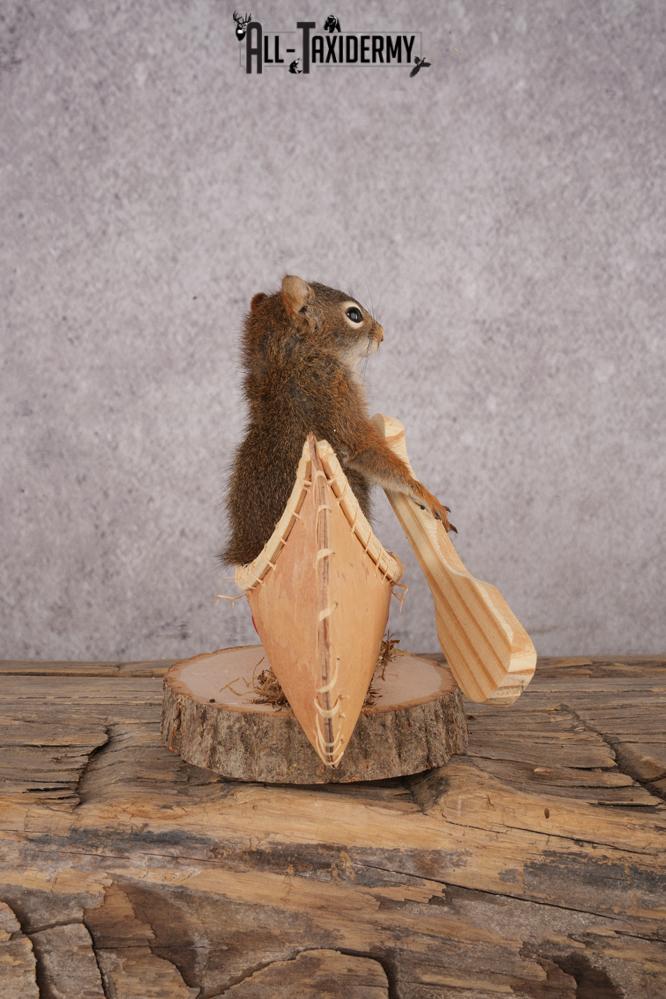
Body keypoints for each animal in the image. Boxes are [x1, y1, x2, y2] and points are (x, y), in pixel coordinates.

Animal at [221, 275, 454, 566]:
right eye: (354, 314)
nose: (382, 334)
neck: (288, 363)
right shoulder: (338, 396)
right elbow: (369, 451)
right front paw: (425, 495)